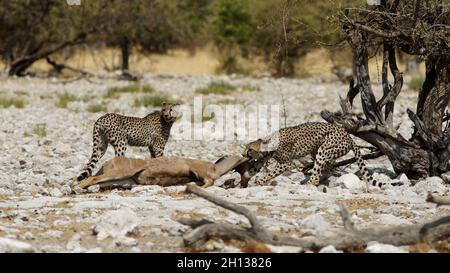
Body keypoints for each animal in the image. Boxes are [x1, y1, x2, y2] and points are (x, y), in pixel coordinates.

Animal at [243, 122, 390, 190]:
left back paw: (307, 183)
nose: (243, 154)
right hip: (318, 151)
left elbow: (270, 174)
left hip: (323, 151)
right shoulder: (263, 159)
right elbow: (254, 168)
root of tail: (347, 134)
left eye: (249, 149)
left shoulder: (286, 163)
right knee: (329, 168)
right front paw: (246, 178)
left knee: (318, 174)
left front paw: (259, 182)